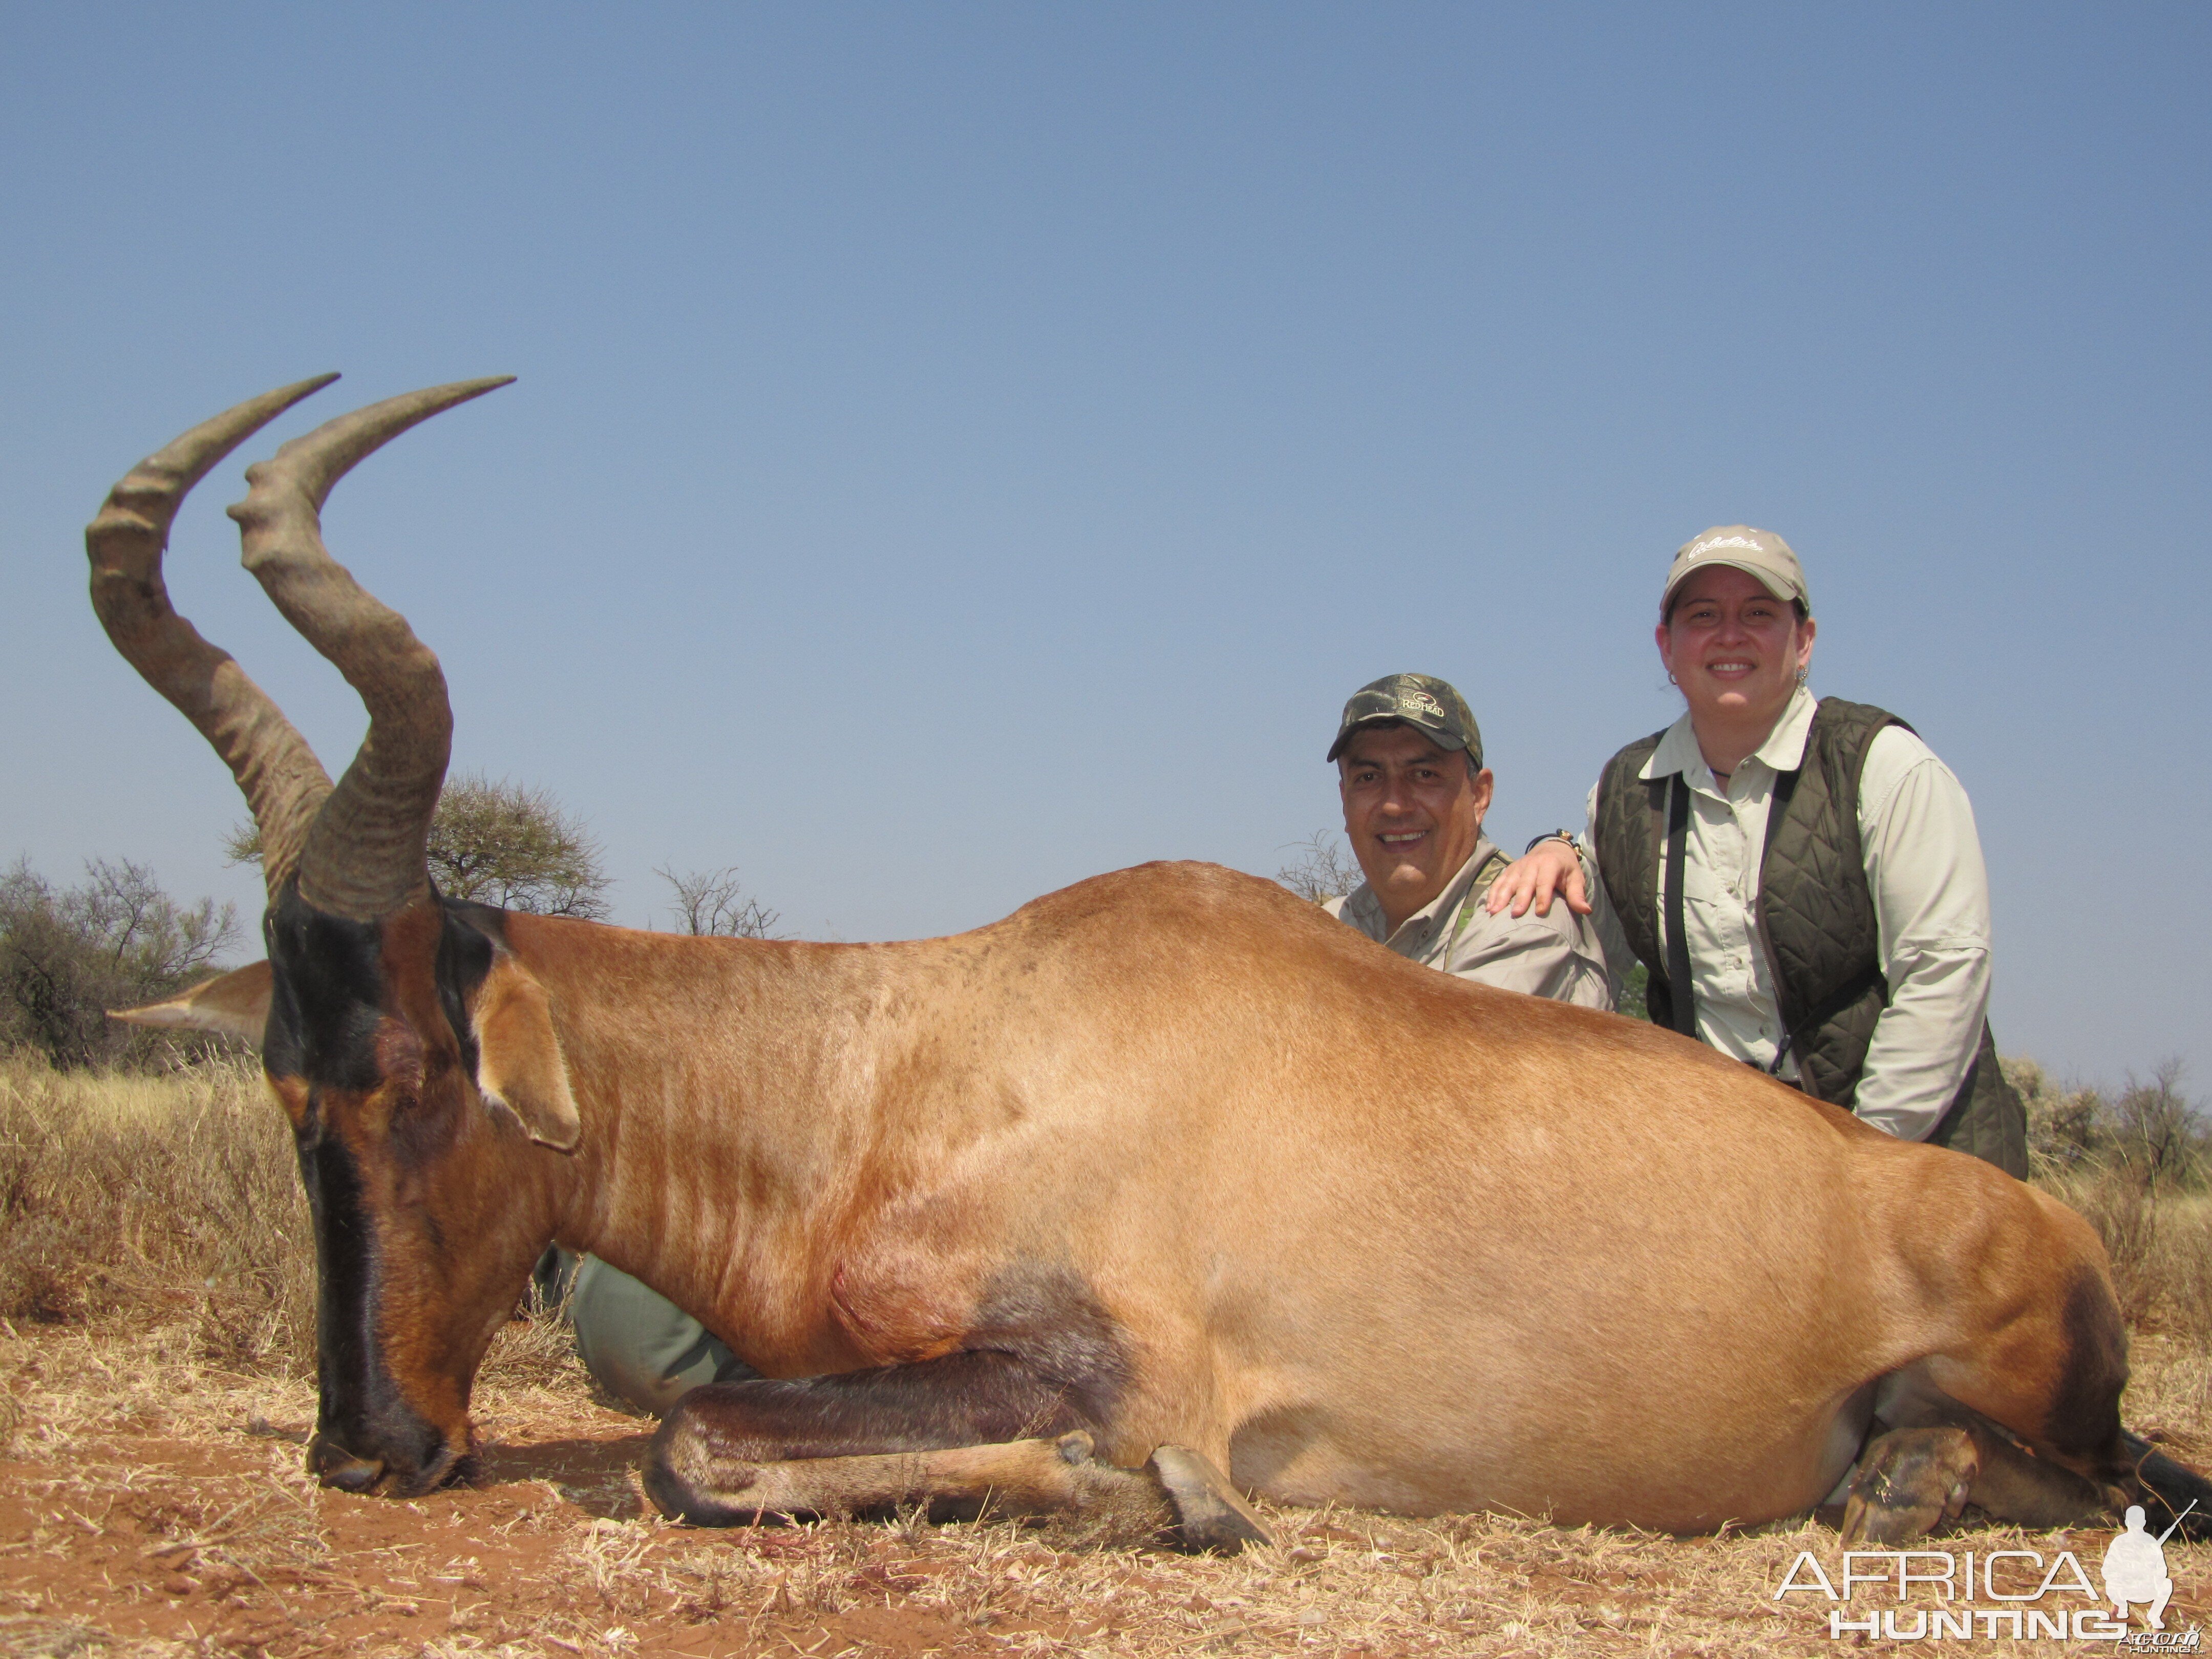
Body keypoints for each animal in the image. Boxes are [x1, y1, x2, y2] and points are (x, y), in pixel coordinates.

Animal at [99, 380, 2212, 1557]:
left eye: (420, 1076)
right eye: (289, 1083)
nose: (371, 1449)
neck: (922, 1050)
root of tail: (2020, 1212)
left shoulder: (1114, 1357)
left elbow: (696, 1445)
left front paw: (1166, 1505)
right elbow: (696, 1426)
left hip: (2037, 1391)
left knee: (2109, 1479)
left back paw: (1909, 1491)